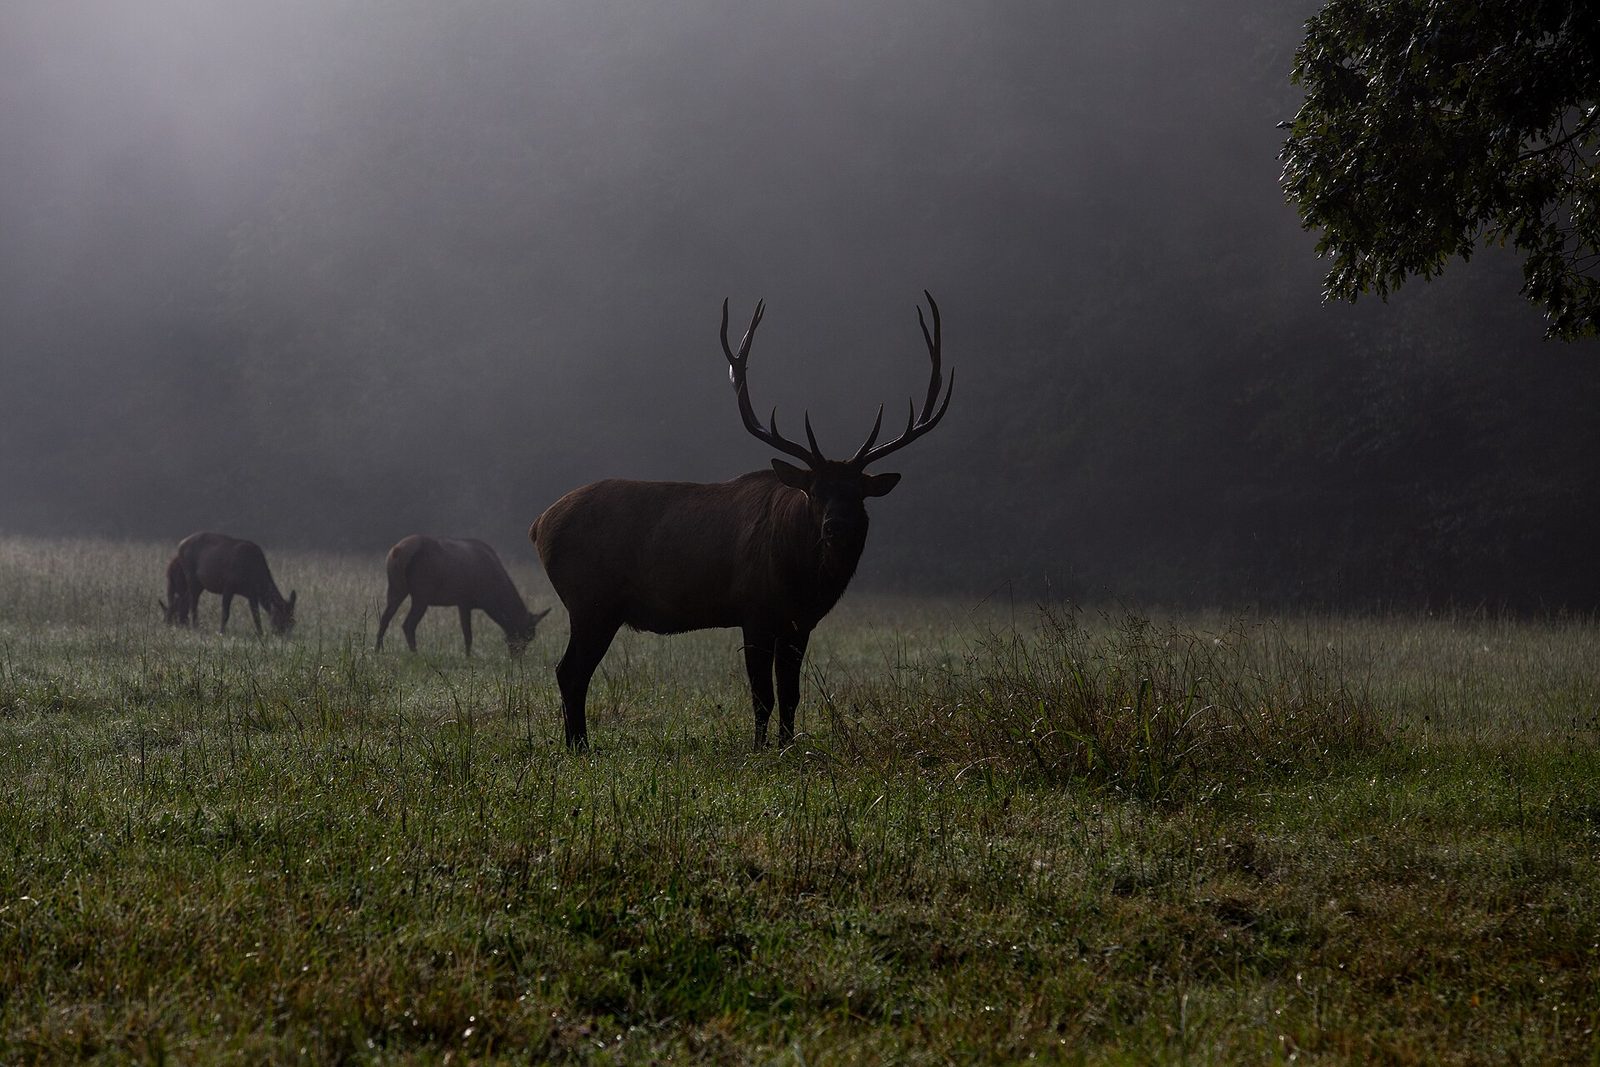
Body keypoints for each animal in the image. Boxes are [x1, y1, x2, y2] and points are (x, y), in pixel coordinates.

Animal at [375, 535, 550, 656]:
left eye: (530, 638)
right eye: (521, 634)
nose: (517, 657)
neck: (491, 596)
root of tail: (397, 552)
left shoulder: (463, 603)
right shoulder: (465, 600)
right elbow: (468, 635)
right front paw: (468, 658)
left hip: (396, 587)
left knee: (384, 618)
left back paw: (377, 651)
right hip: (421, 593)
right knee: (408, 624)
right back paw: (416, 654)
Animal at [531, 292, 952, 750]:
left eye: (858, 494)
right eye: (815, 491)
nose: (836, 526)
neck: (804, 581)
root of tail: (540, 524)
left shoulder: (798, 623)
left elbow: (791, 692)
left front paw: (787, 745)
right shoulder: (755, 609)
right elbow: (762, 693)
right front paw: (759, 748)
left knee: (571, 671)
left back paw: (578, 744)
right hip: (590, 600)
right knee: (569, 671)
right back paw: (579, 746)